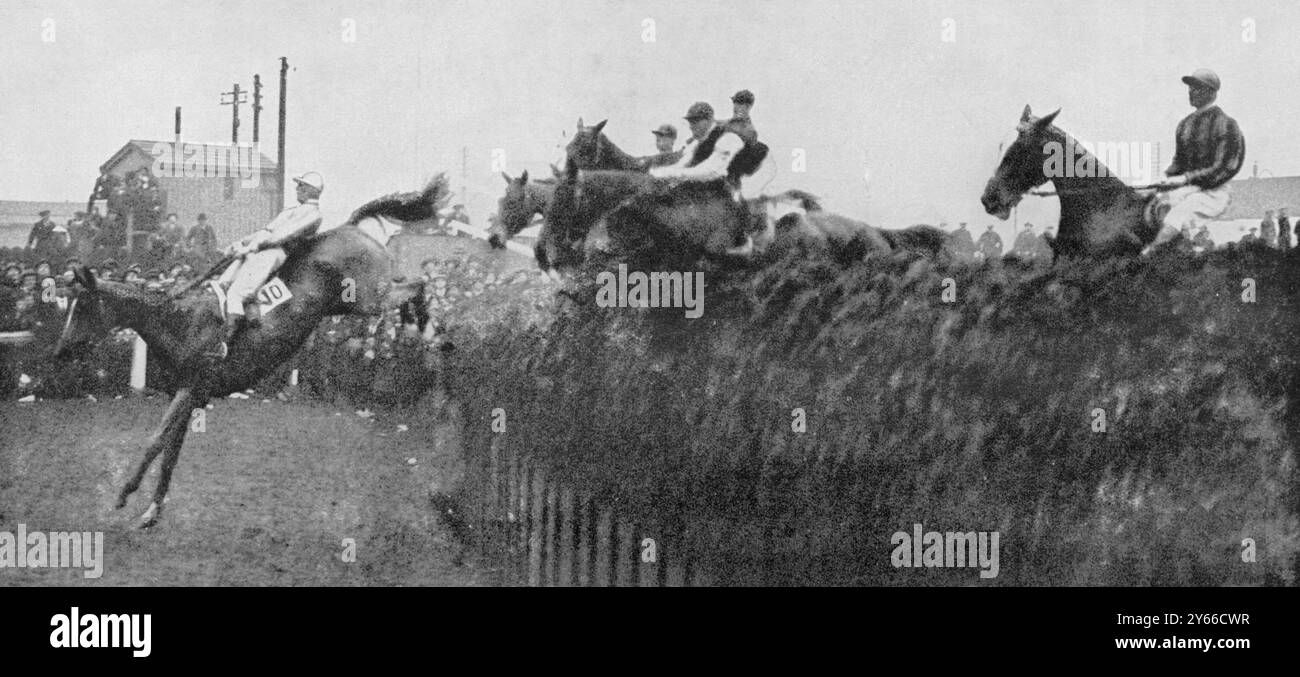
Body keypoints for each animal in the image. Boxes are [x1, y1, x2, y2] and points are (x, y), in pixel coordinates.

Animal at [53, 175, 449, 527]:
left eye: (83, 305)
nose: (60, 351)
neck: (180, 321)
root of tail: (351, 227)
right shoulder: (188, 395)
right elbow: (169, 454)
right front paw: (151, 511)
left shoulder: (189, 390)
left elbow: (155, 442)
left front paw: (124, 493)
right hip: (352, 304)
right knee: (411, 288)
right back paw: (418, 324)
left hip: (369, 296)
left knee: (417, 284)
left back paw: (425, 327)